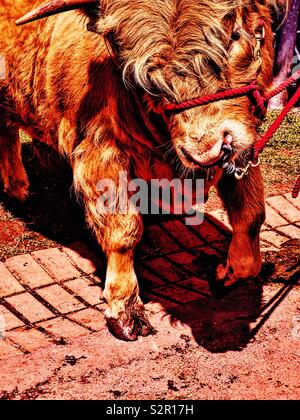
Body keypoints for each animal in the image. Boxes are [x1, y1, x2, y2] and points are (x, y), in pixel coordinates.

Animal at [0, 0, 286, 340]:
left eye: (234, 36)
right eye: (146, 76)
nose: (207, 150)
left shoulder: (243, 144)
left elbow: (251, 213)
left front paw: (227, 272)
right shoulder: (101, 151)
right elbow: (124, 231)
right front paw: (125, 308)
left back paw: (21, 185)